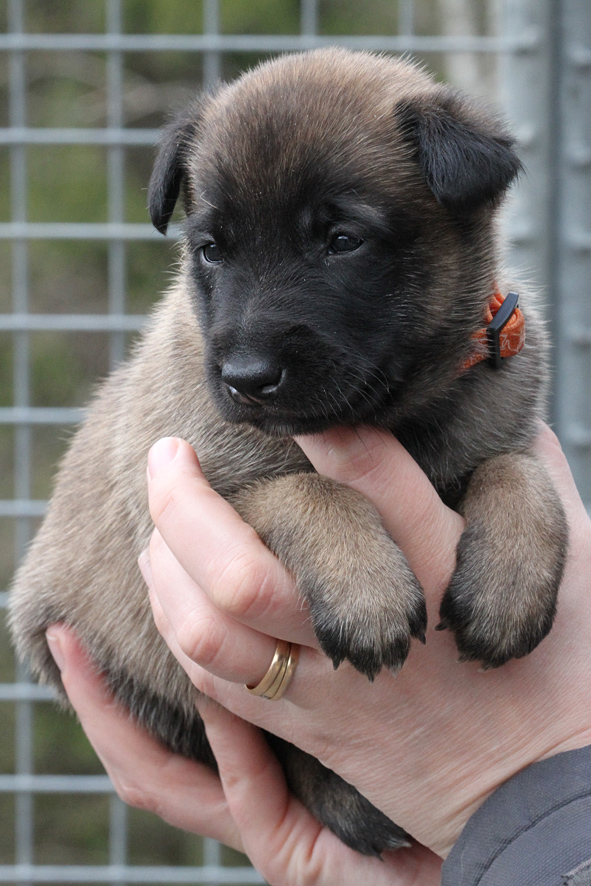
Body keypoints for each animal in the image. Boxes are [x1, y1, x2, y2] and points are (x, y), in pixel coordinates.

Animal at [9, 50, 568, 860]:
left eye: (342, 241)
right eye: (211, 250)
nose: (246, 378)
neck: (395, 418)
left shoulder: (499, 424)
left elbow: (517, 470)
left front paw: (510, 585)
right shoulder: (189, 495)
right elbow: (307, 492)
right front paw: (365, 589)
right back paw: (348, 800)